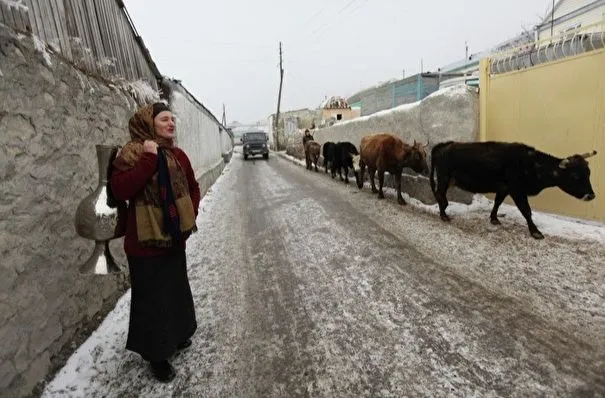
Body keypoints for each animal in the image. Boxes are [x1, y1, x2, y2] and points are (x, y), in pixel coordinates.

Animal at [430, 141, 596, 239]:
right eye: (575, 176)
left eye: (589, 173)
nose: (591, 195)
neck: (532, 165)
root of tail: (445, 144)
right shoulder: (517, 190)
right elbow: (526, 211)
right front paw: (535, 232)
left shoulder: (504, 188)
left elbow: (497, 202)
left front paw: (494, 219)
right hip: (444, 178)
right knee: (440, 194)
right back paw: (444, 215)